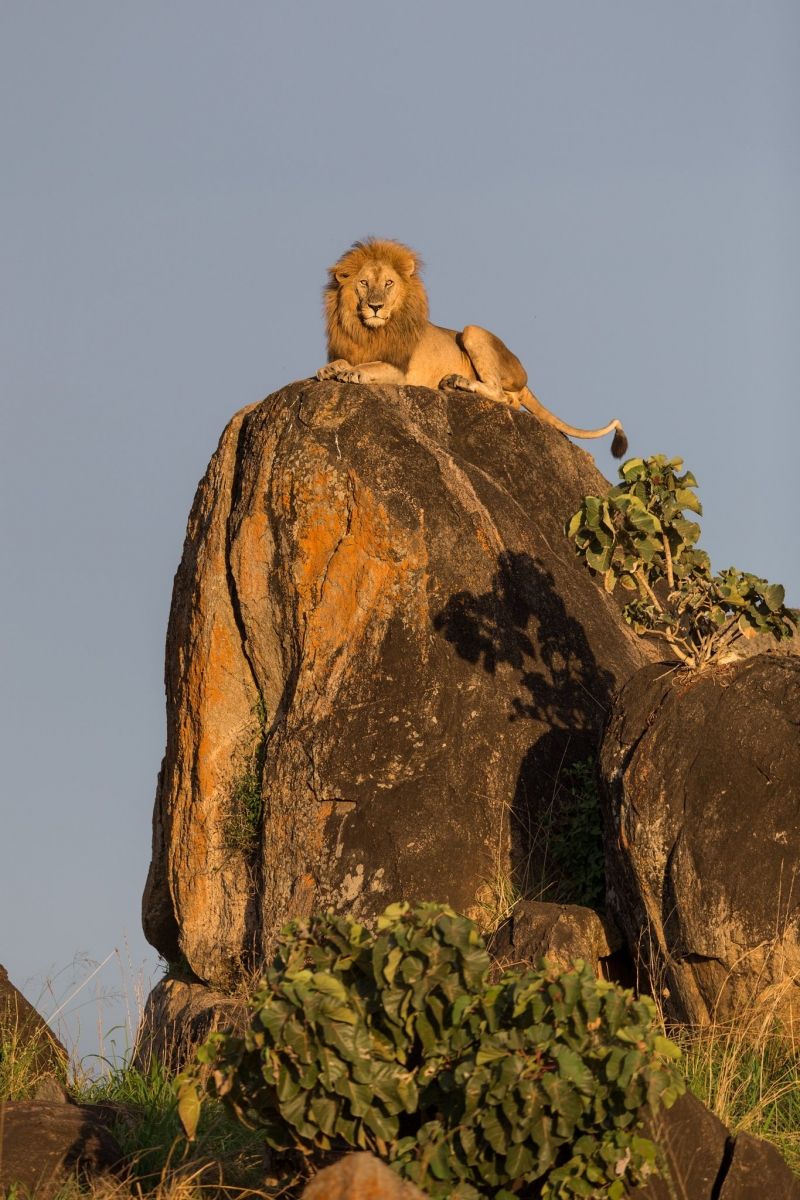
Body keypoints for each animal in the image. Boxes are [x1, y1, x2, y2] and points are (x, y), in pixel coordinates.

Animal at [317, 238, 627, 457]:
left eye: (389, 283)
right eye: (364, 283)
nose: (375, 306)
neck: (369, 331)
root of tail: (524, 378)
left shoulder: (400, 370)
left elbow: (371, 365)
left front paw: (353, 373)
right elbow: (341, 362)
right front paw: (329, 370)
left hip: (472, 331)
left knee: (499, 393)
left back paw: (457, 382)